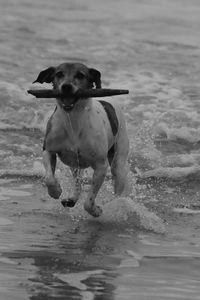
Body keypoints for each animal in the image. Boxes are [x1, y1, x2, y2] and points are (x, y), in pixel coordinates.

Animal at [33, 62, 130, 218]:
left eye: (80, 75)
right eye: (59, 74)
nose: (66, 86)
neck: (73, 119)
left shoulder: (101, 166)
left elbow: (89, 201)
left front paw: (95, 210)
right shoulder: (48, 150)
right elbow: (49, 178)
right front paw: (55, 191)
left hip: (118, 160)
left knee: (118, 184)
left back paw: (117, 205)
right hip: (75, 164)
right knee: (78, 182)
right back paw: (72, 199)